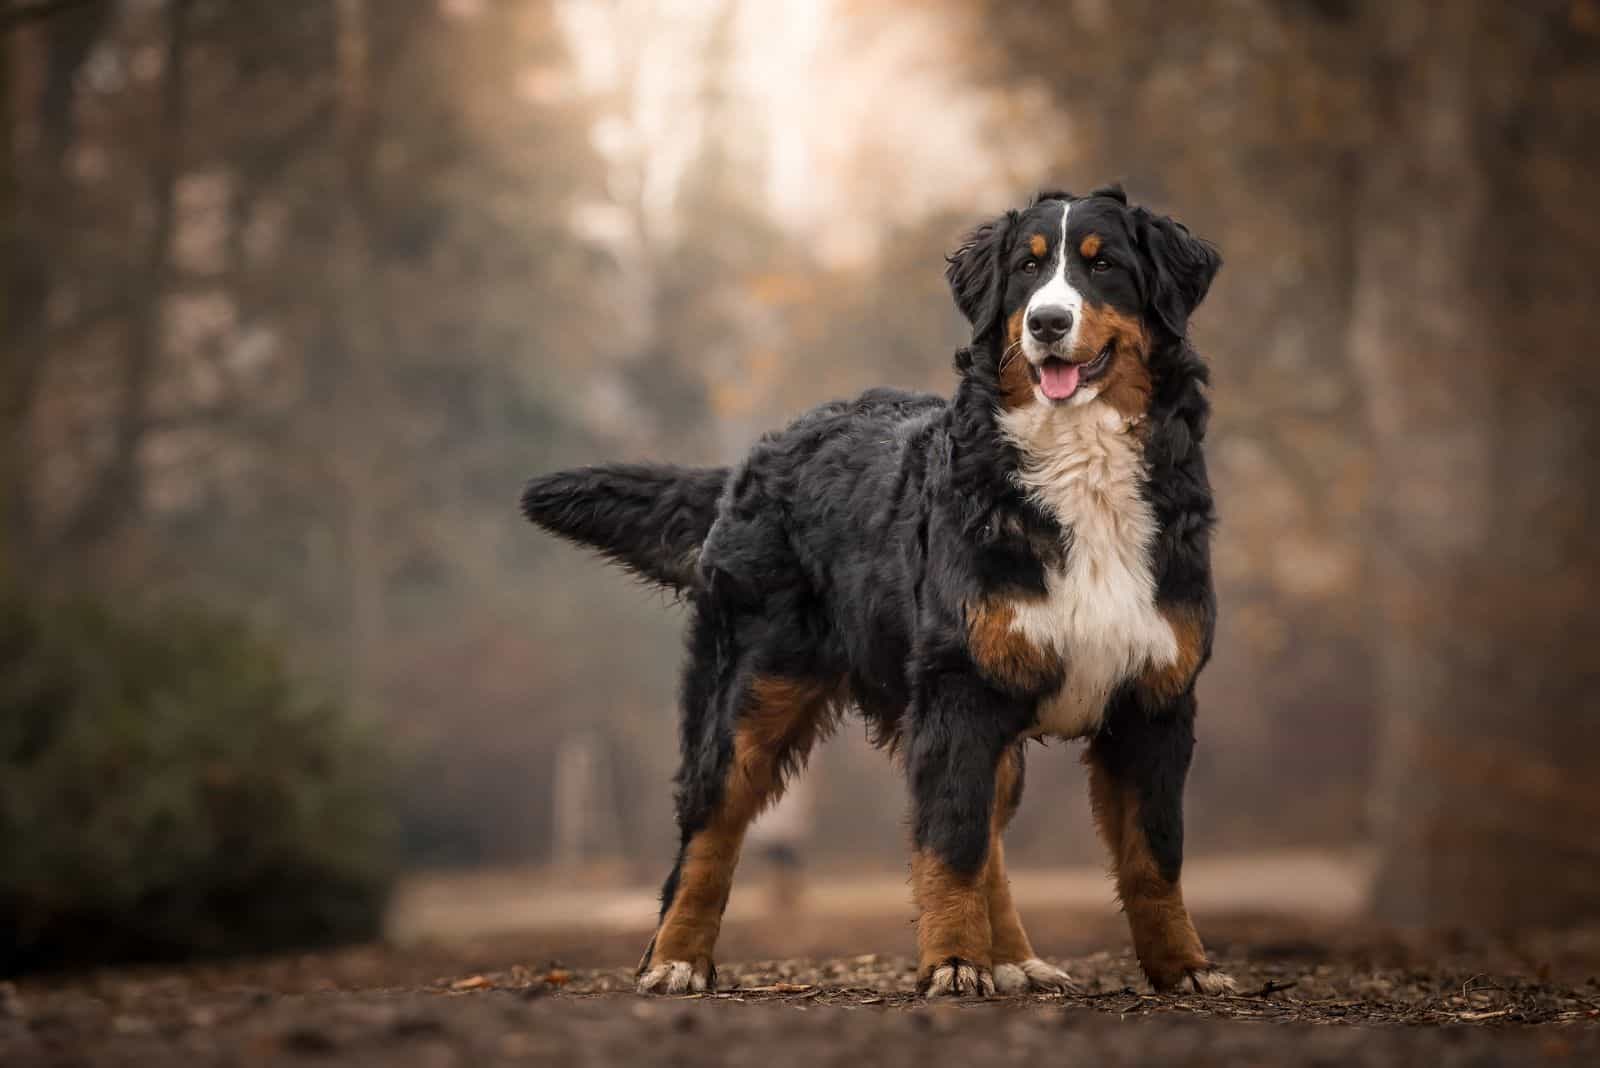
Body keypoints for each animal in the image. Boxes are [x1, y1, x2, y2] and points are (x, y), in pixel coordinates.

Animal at [521, 183, 1222, 991]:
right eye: (1027, 268)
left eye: (1102, 266)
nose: (1047, 322)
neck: (1080, 468)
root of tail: (757, 457)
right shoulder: (958, 690)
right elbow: (950, 846)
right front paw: (954, 963)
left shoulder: (1155, 696)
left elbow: (1154, 855)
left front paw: (1184, 967)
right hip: (750, 692)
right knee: (708, 833)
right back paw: (676, 959)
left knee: (990, 838)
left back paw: (1016, 958)